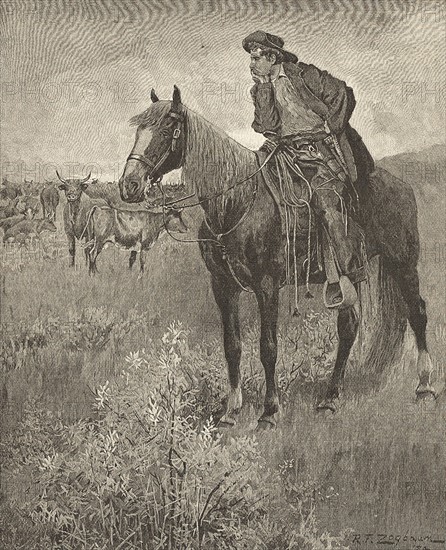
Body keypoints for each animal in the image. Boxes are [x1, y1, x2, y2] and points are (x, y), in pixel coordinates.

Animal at [118, 87, 436, 432]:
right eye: (138, 130)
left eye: (166, 129)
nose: (129, 185)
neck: (237, 202)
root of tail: (401, 185)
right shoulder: (223, 286)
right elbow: (232, 346)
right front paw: (231, 411)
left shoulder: (267, 286)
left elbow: (268, 348)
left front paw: (269, 412)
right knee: (349, 327)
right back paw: (329, 398)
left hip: (403, 264)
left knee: (417, 313)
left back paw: (424, 386)